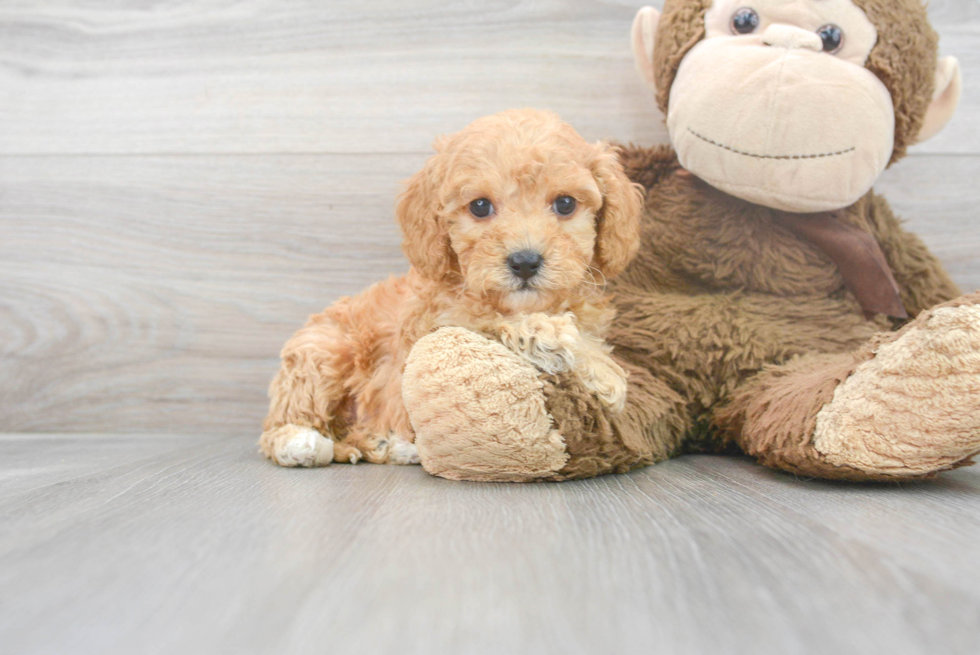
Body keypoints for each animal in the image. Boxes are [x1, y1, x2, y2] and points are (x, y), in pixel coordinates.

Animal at [258, 109, 644, 466]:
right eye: (480, 206)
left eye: (565, 203)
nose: (525, 261)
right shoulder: (442, 324)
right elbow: (496, 322)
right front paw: (593, 363)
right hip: (323, 351)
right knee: (283, 421)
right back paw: (299, 441)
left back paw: (388, 444)